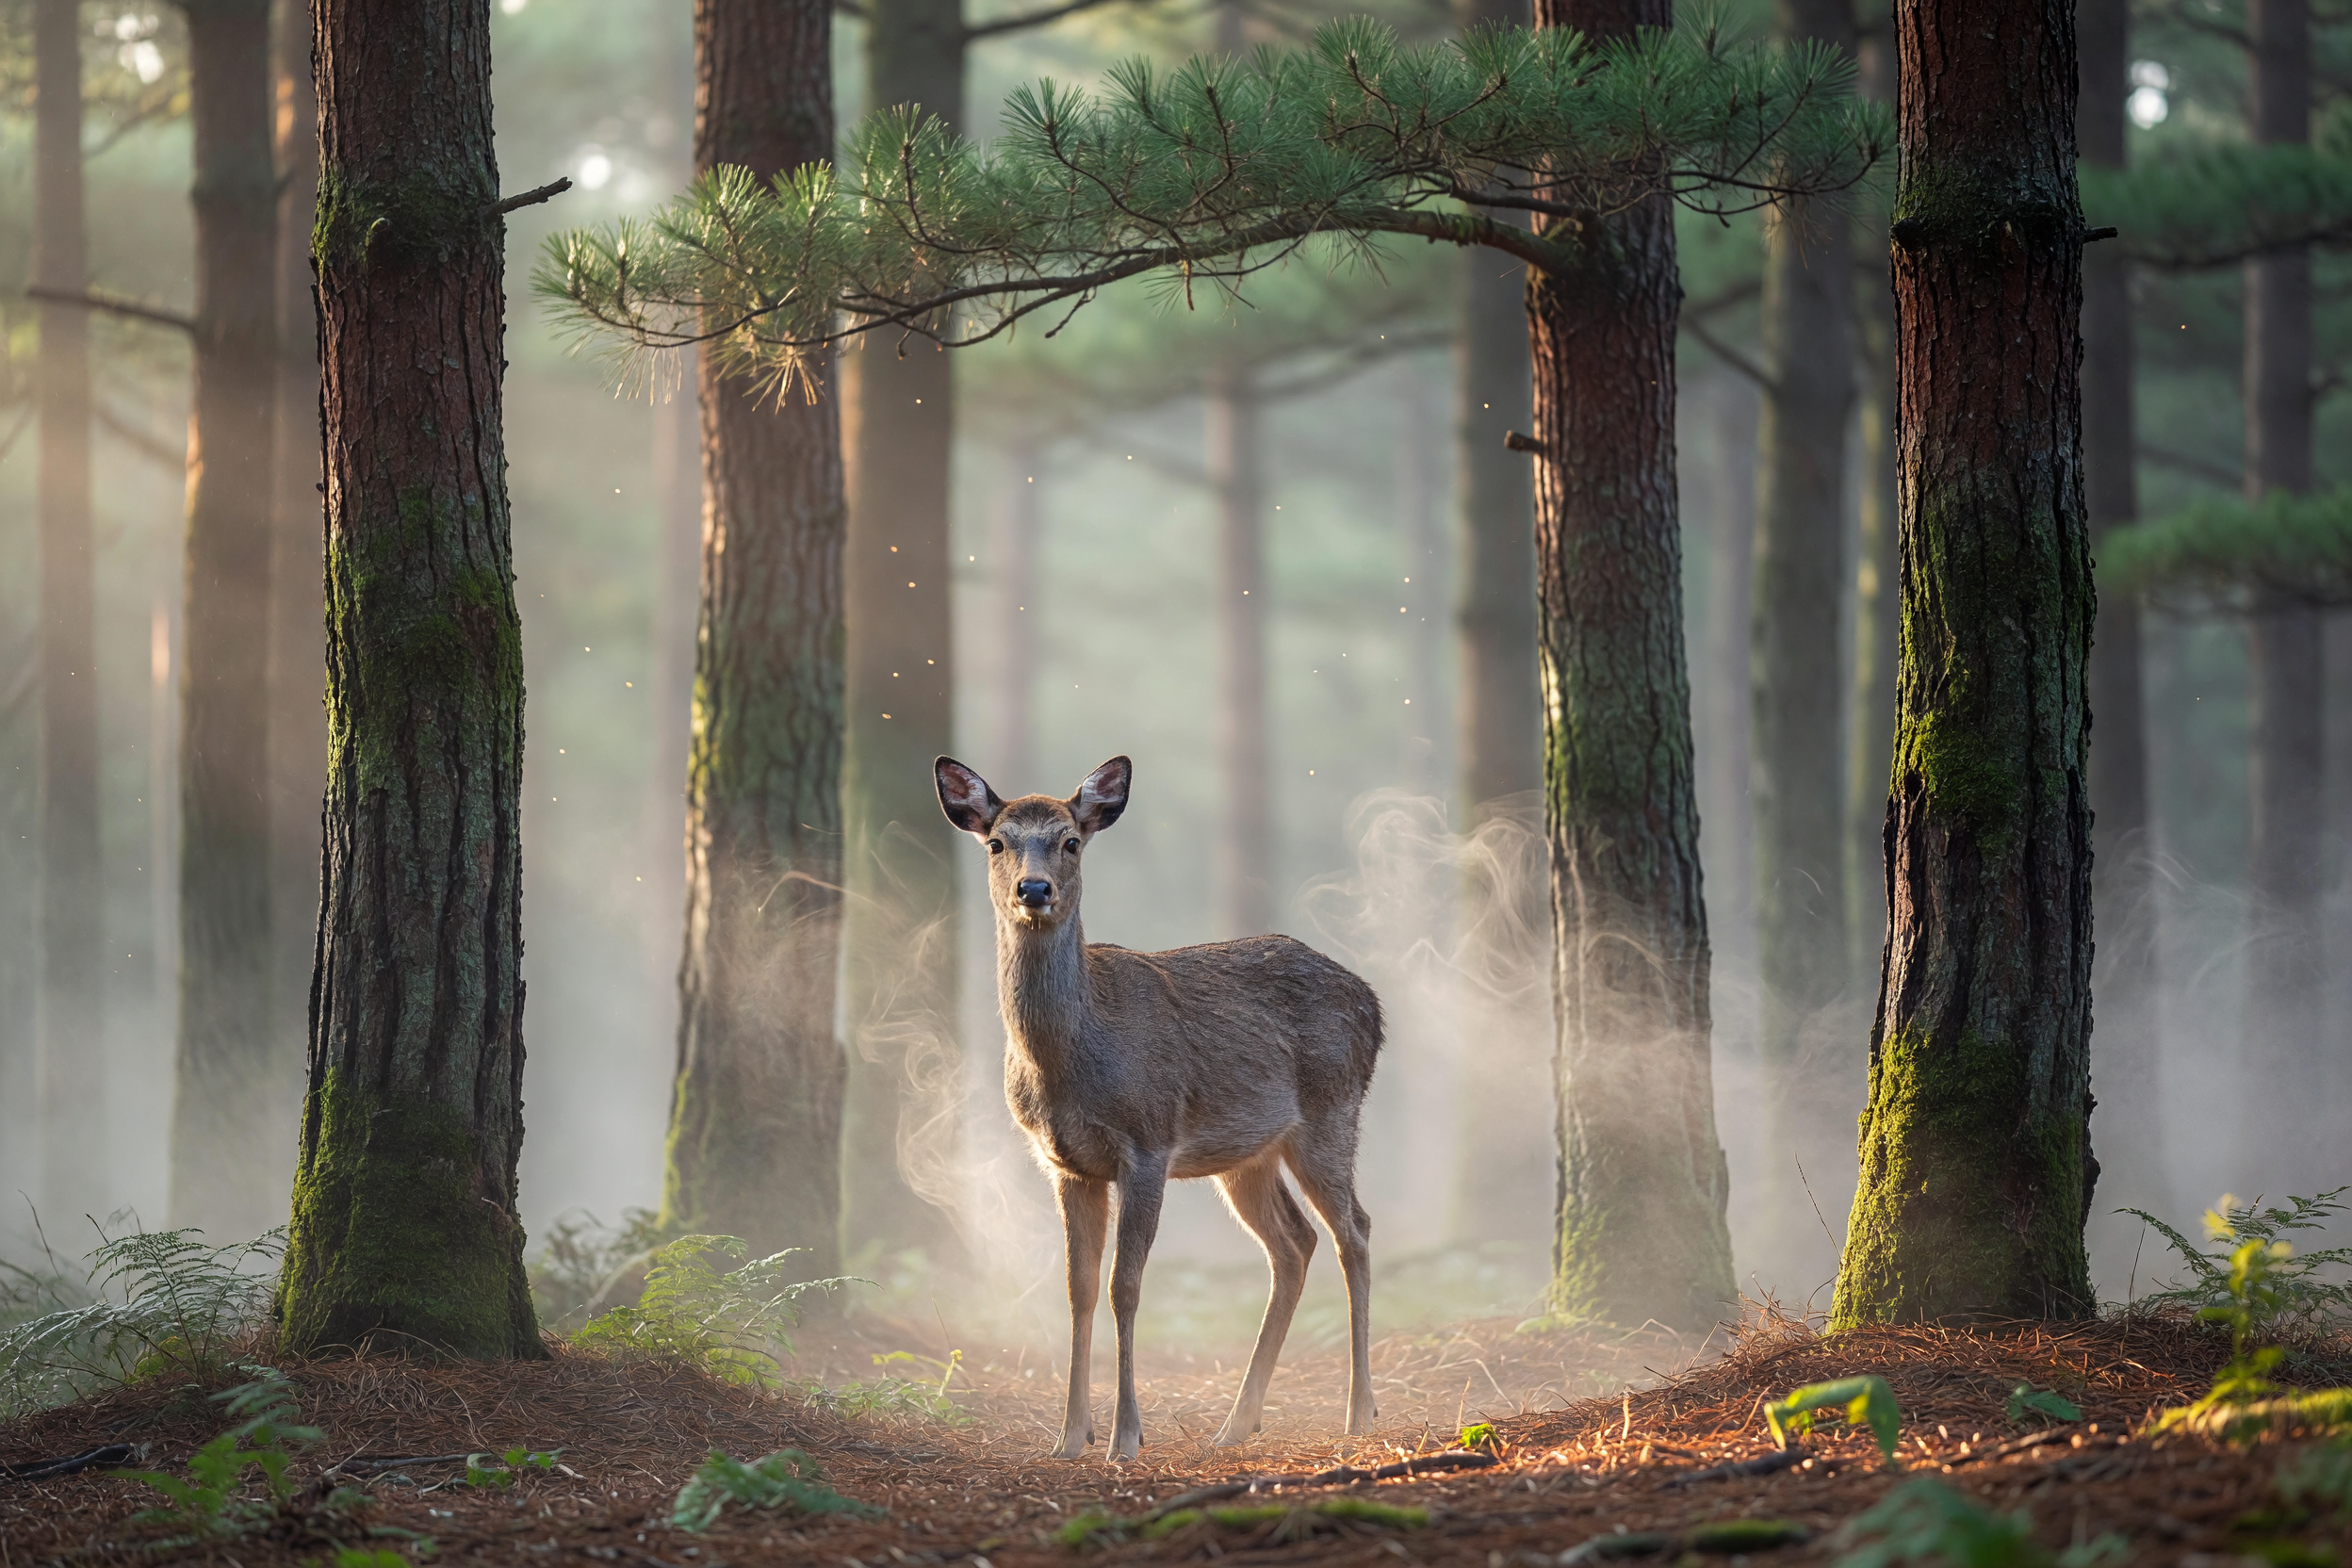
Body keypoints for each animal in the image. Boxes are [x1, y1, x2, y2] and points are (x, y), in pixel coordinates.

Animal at [934, 754, 1383, 1463]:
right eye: (997, 842)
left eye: (1070, 841)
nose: (1033, 890)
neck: (1069, 1063)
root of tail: (1374, 1004)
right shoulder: (1066, 1164)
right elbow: (1079, 1288)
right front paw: (1070, 1436)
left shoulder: (1145, 1145)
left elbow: (1126, 1285)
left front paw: (1125, 1436)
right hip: (1248, 1155)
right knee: (1295, 1242)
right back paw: (1237, 1422)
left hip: (1331, 1112)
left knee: (1355, 1231)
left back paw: (1359, 1410)